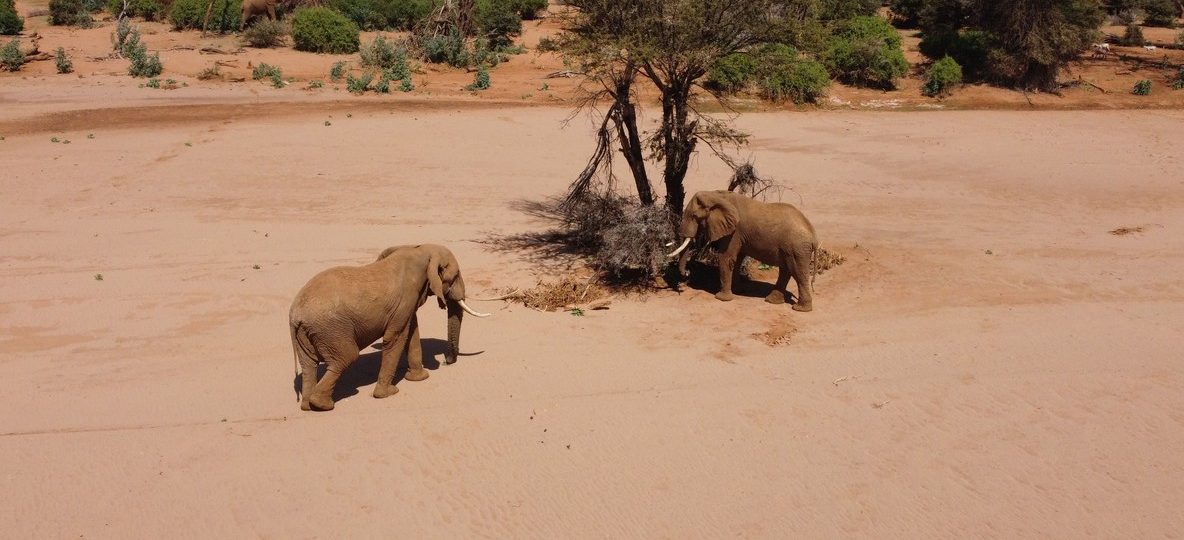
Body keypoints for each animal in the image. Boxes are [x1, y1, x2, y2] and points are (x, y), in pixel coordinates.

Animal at [289, 244, 490, 411]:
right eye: (455, 277)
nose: (447, 361)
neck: (421, 249)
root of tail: (295, 313)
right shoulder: (406, 298)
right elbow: (396, 338)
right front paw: (388, 393)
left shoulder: (408, 303)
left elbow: (412, 334)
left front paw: (420, 378)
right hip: (331, 329)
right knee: (346, 357)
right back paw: (323, 405)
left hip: (309, 333)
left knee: (309, 365)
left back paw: (308, 406)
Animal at [668, 190, 818, 311]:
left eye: (693, 216)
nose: (687, 273)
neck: (716, 195)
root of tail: (813, 234)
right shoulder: (738, 234)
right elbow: (738, 258)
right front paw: (738, 290)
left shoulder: (734, 232)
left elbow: (727, 258)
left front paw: (722, 298)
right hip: (791, 248)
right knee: (786, 270)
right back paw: (772, 301)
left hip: (797, 248)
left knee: (797, 273)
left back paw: (800, 309)